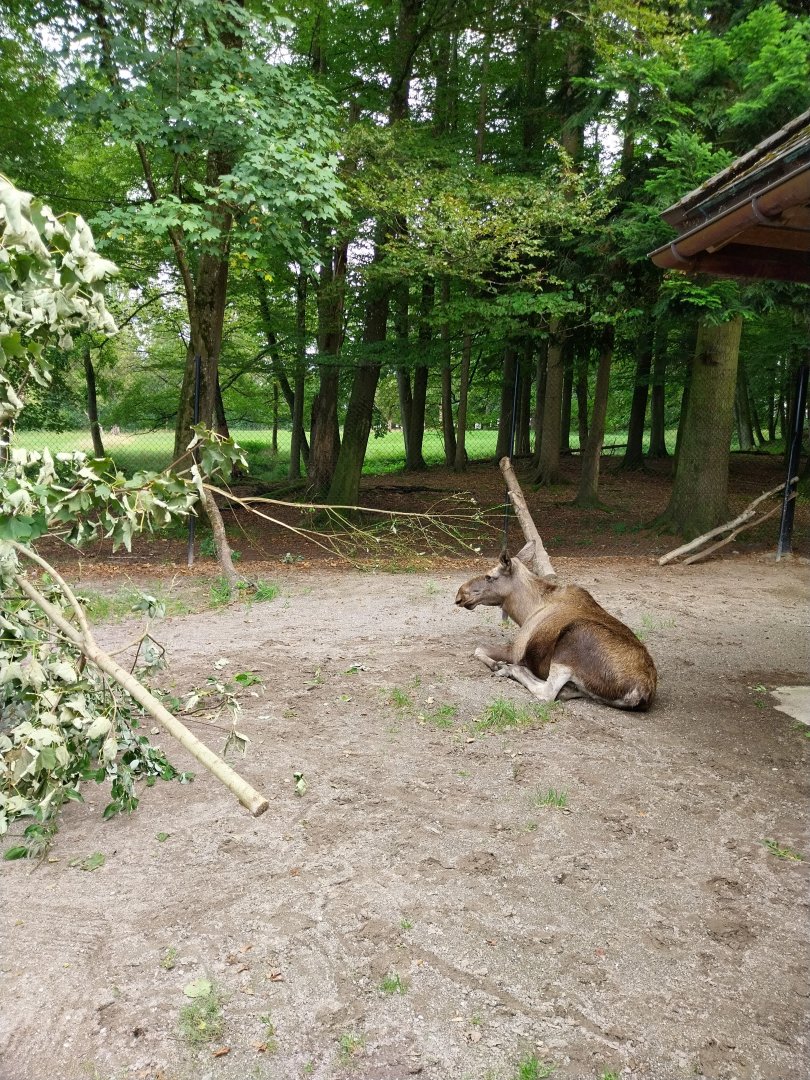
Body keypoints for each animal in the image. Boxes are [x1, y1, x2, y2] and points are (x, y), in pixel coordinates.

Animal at [455, 541, 657, 710]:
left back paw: (511, 669)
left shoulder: (517, 650)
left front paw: (497, 665)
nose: (460, 595)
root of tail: (641, 692)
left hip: (572, 641)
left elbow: (479, 648)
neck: (526, 611)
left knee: (547, 692)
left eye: (490, 576)